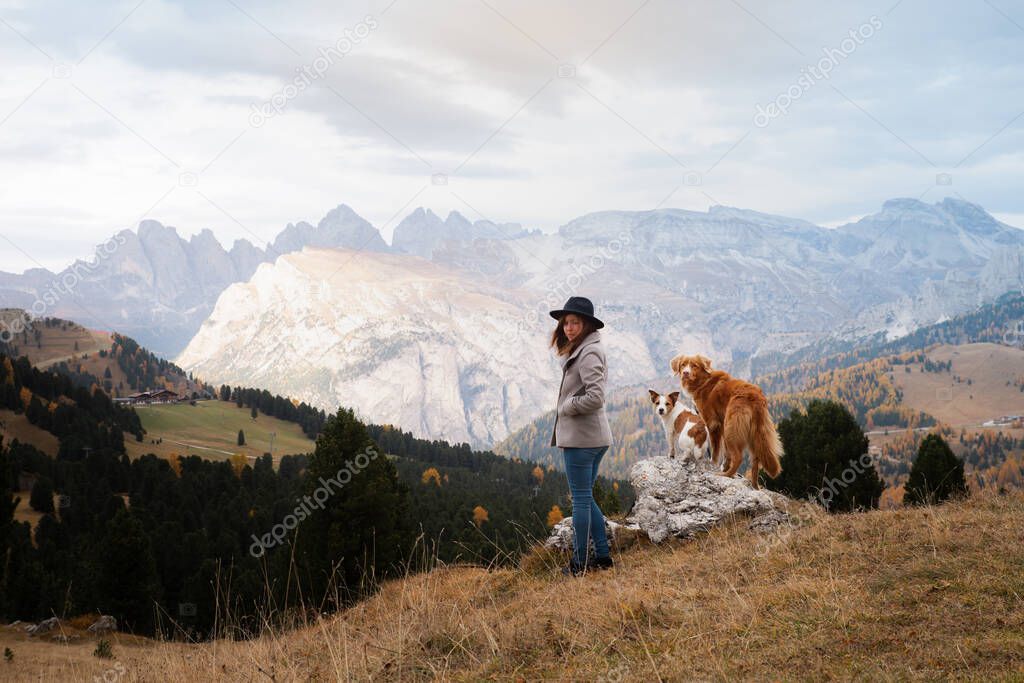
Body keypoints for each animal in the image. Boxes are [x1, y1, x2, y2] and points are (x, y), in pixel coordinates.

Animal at [671, 356, 782, 489]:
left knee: (739, 457)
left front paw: (713, 465)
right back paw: (754, 486)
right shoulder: (722, 425)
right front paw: (724, 466)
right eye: (683, 365)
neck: (703, 381)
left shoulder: (713, 424)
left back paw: (726, 475)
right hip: (754, 433)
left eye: (694, 366)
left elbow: (715, 450)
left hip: (732, 429)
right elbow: (726, 453)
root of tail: (756, 397)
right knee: (756, 460)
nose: (685, 373)